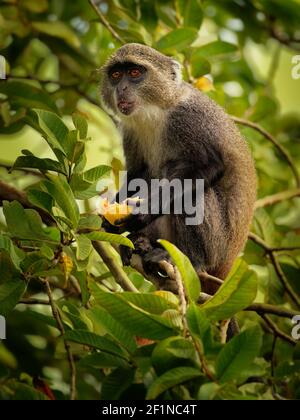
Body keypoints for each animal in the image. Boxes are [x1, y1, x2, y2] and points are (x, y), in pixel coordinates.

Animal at [100, 42, 255, 292]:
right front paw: (111, 218)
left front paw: (144, 210)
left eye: (134, 73)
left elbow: (208, 166)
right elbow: (139, 174)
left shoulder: (188, 119)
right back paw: (140, 242)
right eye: (115, 75)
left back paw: (190, 259)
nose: (121, 89)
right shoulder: (131, 131)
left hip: (217, 248)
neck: (157, 110)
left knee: (194, 191)